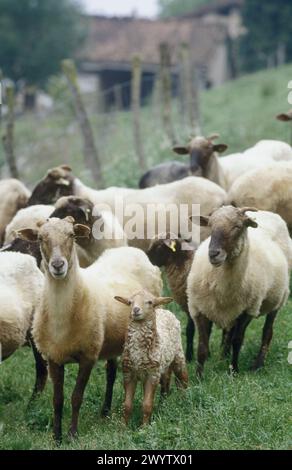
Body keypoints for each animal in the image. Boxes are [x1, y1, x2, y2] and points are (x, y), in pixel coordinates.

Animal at [18, 218, 162, 442]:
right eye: (41, 238)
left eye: (71, 235)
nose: (58, 265)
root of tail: (131, 250)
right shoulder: (53, 357)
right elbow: (57, 399)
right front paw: (57, 437)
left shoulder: (88, 355)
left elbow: (76, 397)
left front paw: (72, 434)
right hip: (112, 340)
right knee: (111, 373)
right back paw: (105, 411)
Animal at [113, 288, 187, 424]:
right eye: (130, 302)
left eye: (150, 302)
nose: (136, 310)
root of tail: (164, 310)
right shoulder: (128, 373)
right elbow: (127, 405)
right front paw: (123, 426)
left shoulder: (152, 375)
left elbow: (147, 405)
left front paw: (144, 426)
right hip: (162, 364)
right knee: (166, 380)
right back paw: (163, 402)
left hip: (178, 354)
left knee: (183, 378)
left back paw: (185, 399)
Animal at [187, 207, 290, 376]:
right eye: (210, 225)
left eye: (237, 226)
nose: (213, 254)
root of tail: (267, 212)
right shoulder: (198, 309)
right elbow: (202, 345)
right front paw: (198, 377)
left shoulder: (248, 309)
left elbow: (238, 340)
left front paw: (234, 371)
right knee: (229, 332)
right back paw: (223, 356)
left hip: (278, 299)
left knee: (267, 332)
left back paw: (257, 365)